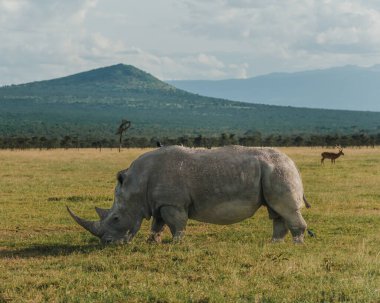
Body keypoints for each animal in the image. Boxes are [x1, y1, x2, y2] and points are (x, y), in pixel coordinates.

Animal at [67, 146, 312, 246]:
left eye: (116, 218)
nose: (107, 243)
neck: (136, 184)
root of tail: (293, 162)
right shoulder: (159, 202)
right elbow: (157, 223)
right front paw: (151, 241)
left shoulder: (172, 202)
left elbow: (176, 223)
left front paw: (176, 243)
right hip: (273, 171)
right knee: (276, 211)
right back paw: (275, 243)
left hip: (279, 171)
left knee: (285, 208)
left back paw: (296, 244)